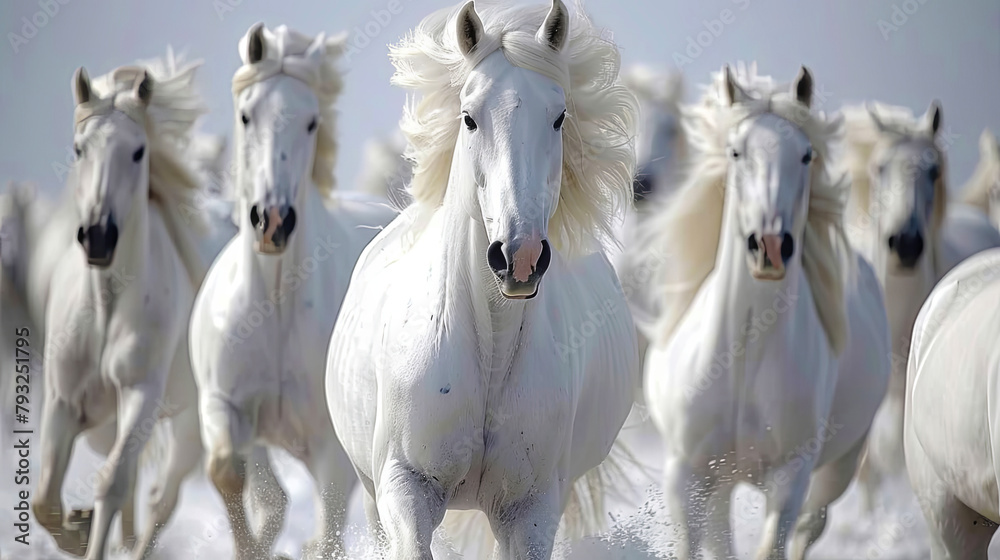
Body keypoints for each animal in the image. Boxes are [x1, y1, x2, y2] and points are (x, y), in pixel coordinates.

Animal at [32, 52, 218, 560]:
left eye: (138, 152)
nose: (98, 236)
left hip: (190, 426)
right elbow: (44, 499)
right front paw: (77, 529)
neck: (106, 308)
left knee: (160, 498)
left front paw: (84, 531)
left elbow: (112, 485)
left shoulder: (140, 394)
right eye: (79, 149)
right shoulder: (62, 401)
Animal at [188, 23, 398, 560]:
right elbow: (230, 474)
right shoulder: (225, 406)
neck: (276, 307)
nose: (273, 221)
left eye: (310, 122)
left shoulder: (331, 452)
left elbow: (328, 532)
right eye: (247, 115)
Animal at [324, 1, 640, 558]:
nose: (520, 256)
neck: (488, 346)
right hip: (370, 490)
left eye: (558, 117)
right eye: (469, 118)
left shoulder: (529, 509)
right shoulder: (406, 487)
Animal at [637, 63, 890, 560]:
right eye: (736, 152)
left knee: (810, 527)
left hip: (839, 467)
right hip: (718, 483)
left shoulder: (790, 477)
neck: (744, 352)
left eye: (807, 155)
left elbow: (775, 544)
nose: (770, 246)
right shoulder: (686, 475)